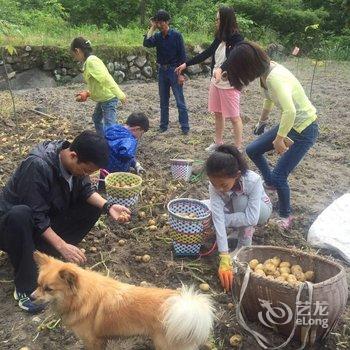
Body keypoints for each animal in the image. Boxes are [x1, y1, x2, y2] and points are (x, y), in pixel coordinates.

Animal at [32, 253, 215, 348]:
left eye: (48, 289)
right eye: (38, 284)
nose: (31, 297)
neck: (81, 297)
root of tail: (187, 307)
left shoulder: (92, 340)